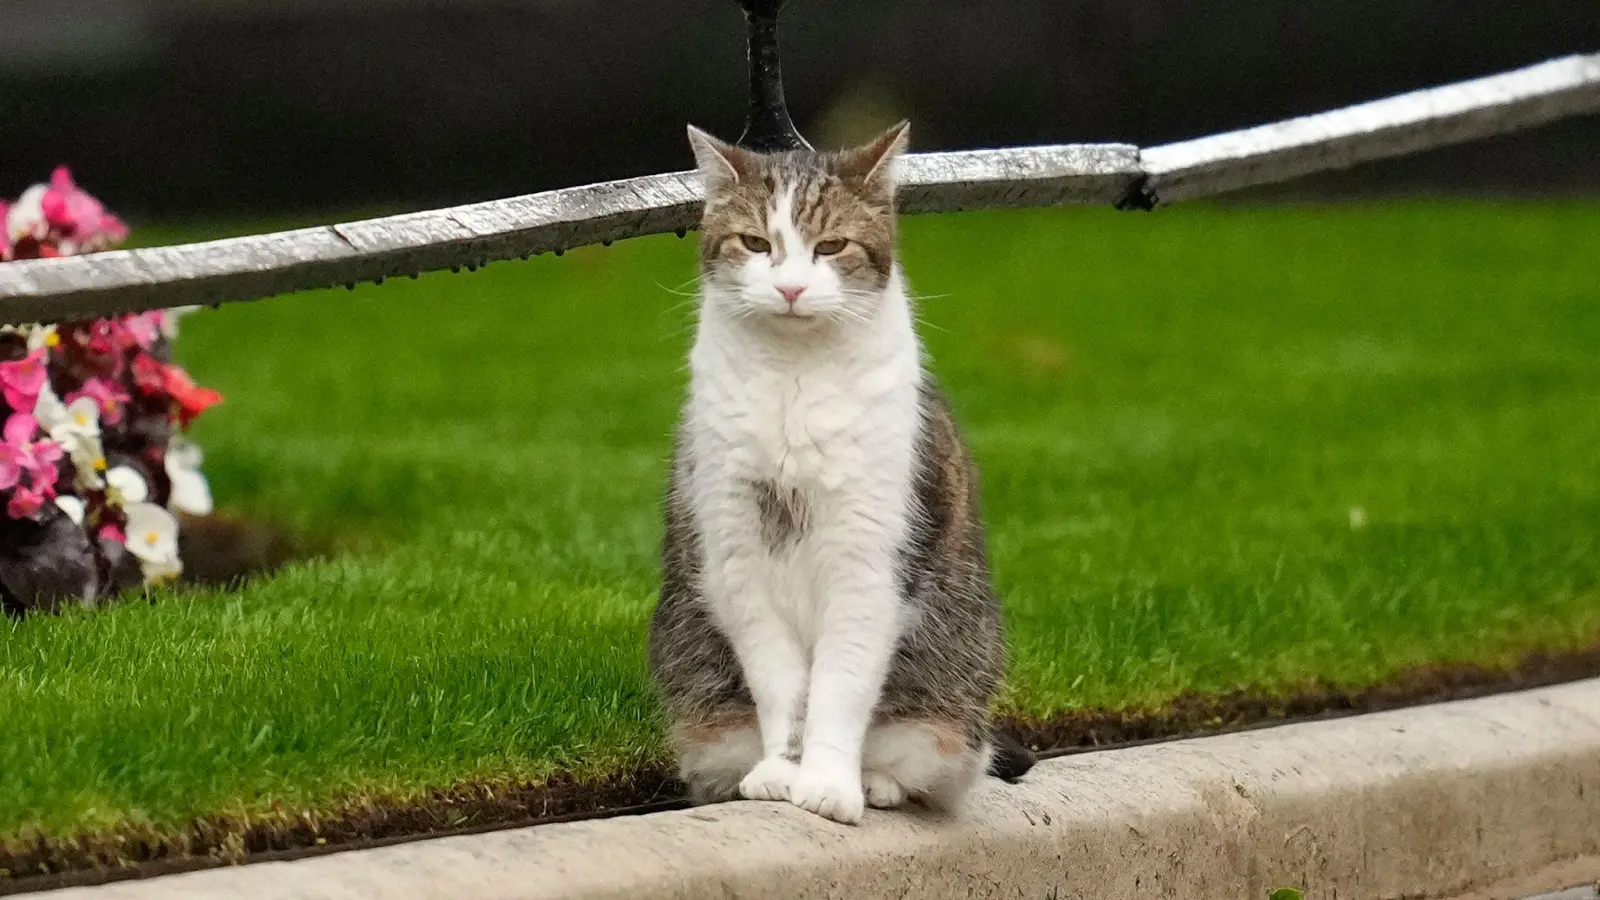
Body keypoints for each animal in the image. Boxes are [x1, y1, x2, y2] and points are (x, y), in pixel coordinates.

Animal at [646, 122, 1030, 826]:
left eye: (831, 246)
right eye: (756, 243)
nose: (792, 288)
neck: (794, 377)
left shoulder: (867, 566)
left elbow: (839, 688)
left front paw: (827, 786)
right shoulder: (737, 556)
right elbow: (782, 689)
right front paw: (781, 772)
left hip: (946, 712)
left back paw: (876, 782)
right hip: (707, 716)